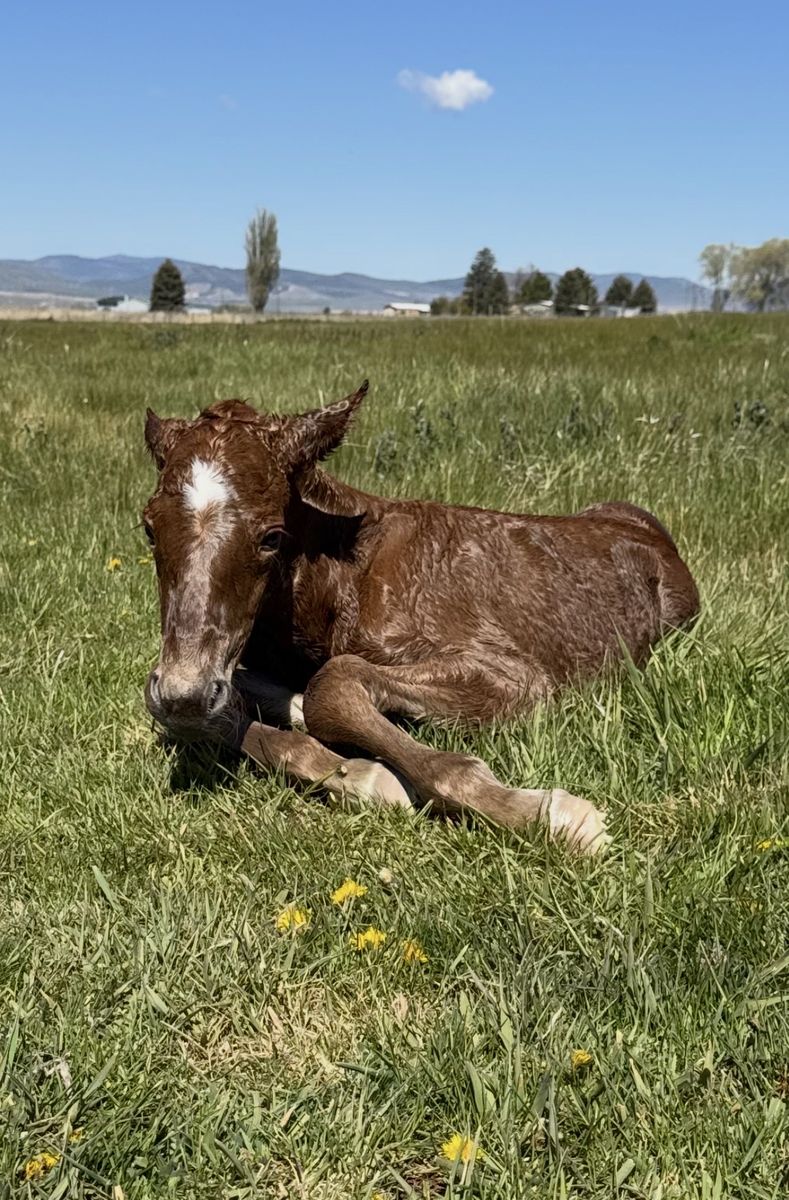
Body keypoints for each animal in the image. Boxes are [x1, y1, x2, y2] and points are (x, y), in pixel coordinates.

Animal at [142, 381, 699, 853]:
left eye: (272, 535)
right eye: (148, 527)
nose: (185, 692)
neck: (336, 587)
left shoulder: (519, 674)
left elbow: (335, 683)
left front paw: (553, 814)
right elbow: (214, 710)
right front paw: (355, 769)